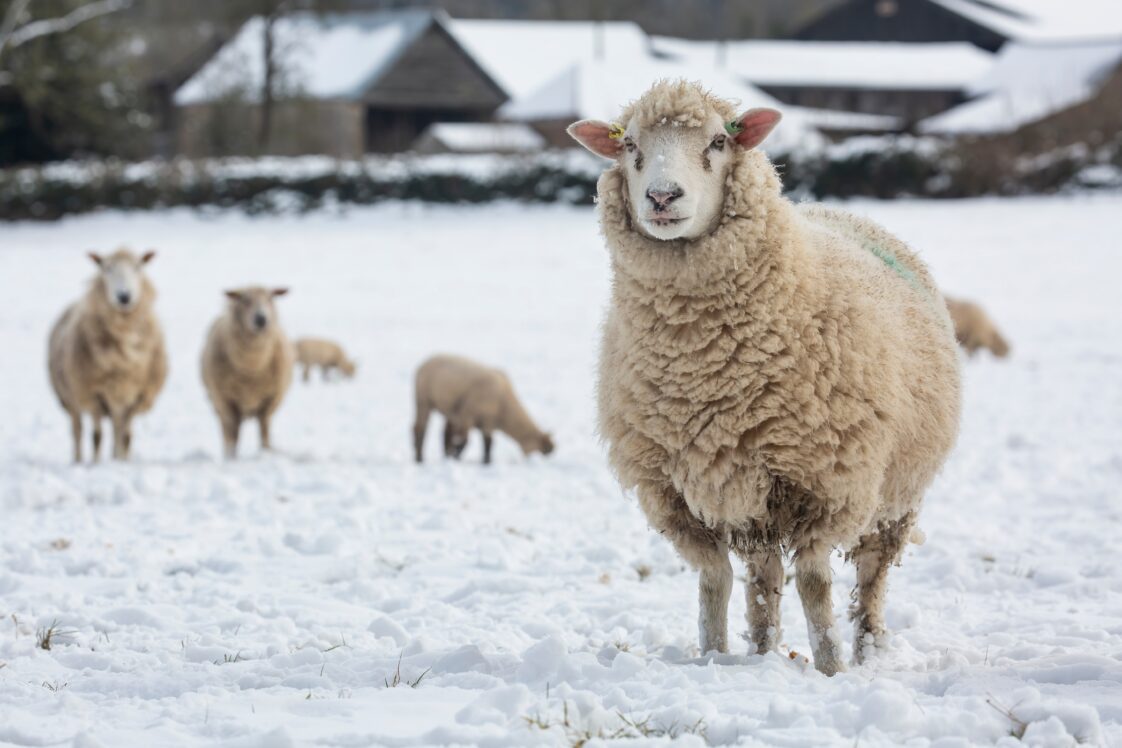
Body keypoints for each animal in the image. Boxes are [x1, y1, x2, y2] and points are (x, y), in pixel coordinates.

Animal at [48, 249, 167, 463]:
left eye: (138, 267)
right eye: (107, 268)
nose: (124, 296)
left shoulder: (135, 397)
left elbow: (126, 437)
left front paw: (122, 462)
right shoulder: (93, 394)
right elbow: (96, 436)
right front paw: (96, 464)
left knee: (116, 431)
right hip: (71, 398)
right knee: (78, 430)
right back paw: (78, 460)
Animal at [200, 287, 293, 459]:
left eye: (270, 298)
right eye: (245, 300)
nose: (261, 319)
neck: (252, 367)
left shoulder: (269, 402)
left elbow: (264, 431)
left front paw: (266, 452)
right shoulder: (226, 401)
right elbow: (232, 434)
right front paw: (231, 458)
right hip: (217, 403)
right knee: (228, 431)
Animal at [413, 354, 554, 465]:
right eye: (544, 450)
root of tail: (424, 363)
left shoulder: (488, 420)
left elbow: (488, 442)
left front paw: (486, 461)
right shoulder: (468, 414)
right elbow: (466, 441)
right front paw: (456, 456)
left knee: (444, 433)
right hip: (423, 400)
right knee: (420, 428)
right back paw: (420, 458)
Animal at [568, 80, 960, 675]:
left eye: (717, 142)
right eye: (629, 144)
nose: (662, 197)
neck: (703, 368)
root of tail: (833, 209)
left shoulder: (830, 482)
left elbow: (816, 585)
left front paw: (830, 667)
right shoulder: (676, 494)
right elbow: (714, 582)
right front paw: (712, 657)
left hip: (895, 493)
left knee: (871, 577)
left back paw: (866, 650)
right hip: (756, 501)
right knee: (763, 577)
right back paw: (762, 650)